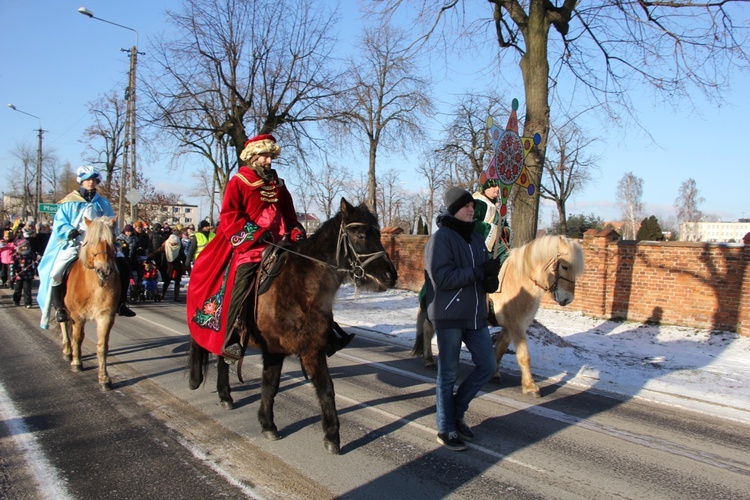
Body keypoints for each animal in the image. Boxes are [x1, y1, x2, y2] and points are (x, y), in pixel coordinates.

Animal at [59, 217, 121, 392]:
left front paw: (104, 378)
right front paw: (76, 363)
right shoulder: (78, 316)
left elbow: (102, 346)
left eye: (112, 241)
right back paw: (68, 351)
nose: (104, 269)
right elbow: (78, 337)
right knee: (64, 325)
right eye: (92, 241)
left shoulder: (106, 316)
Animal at [188, 198, 400, 454]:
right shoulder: (274, 349)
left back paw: (225, 396)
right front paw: (268, 425)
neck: (301, 287)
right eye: (360, 234)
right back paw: (195, 378)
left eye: (378, 233)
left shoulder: (313, 349)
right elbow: (270, 384)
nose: (391, 276)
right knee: (198, 341)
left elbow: (326, 389)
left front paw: (332, 436)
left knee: (222, 358)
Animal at [414, 235, 584, 398]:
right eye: (565, 266)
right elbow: (524, 356)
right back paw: (429, 360)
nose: (568, 299)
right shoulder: (517, 326)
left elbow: (501, 348)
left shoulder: (511, 326)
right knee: (428, 330)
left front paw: (494, 373)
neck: (520, 278)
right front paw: (530, 386)